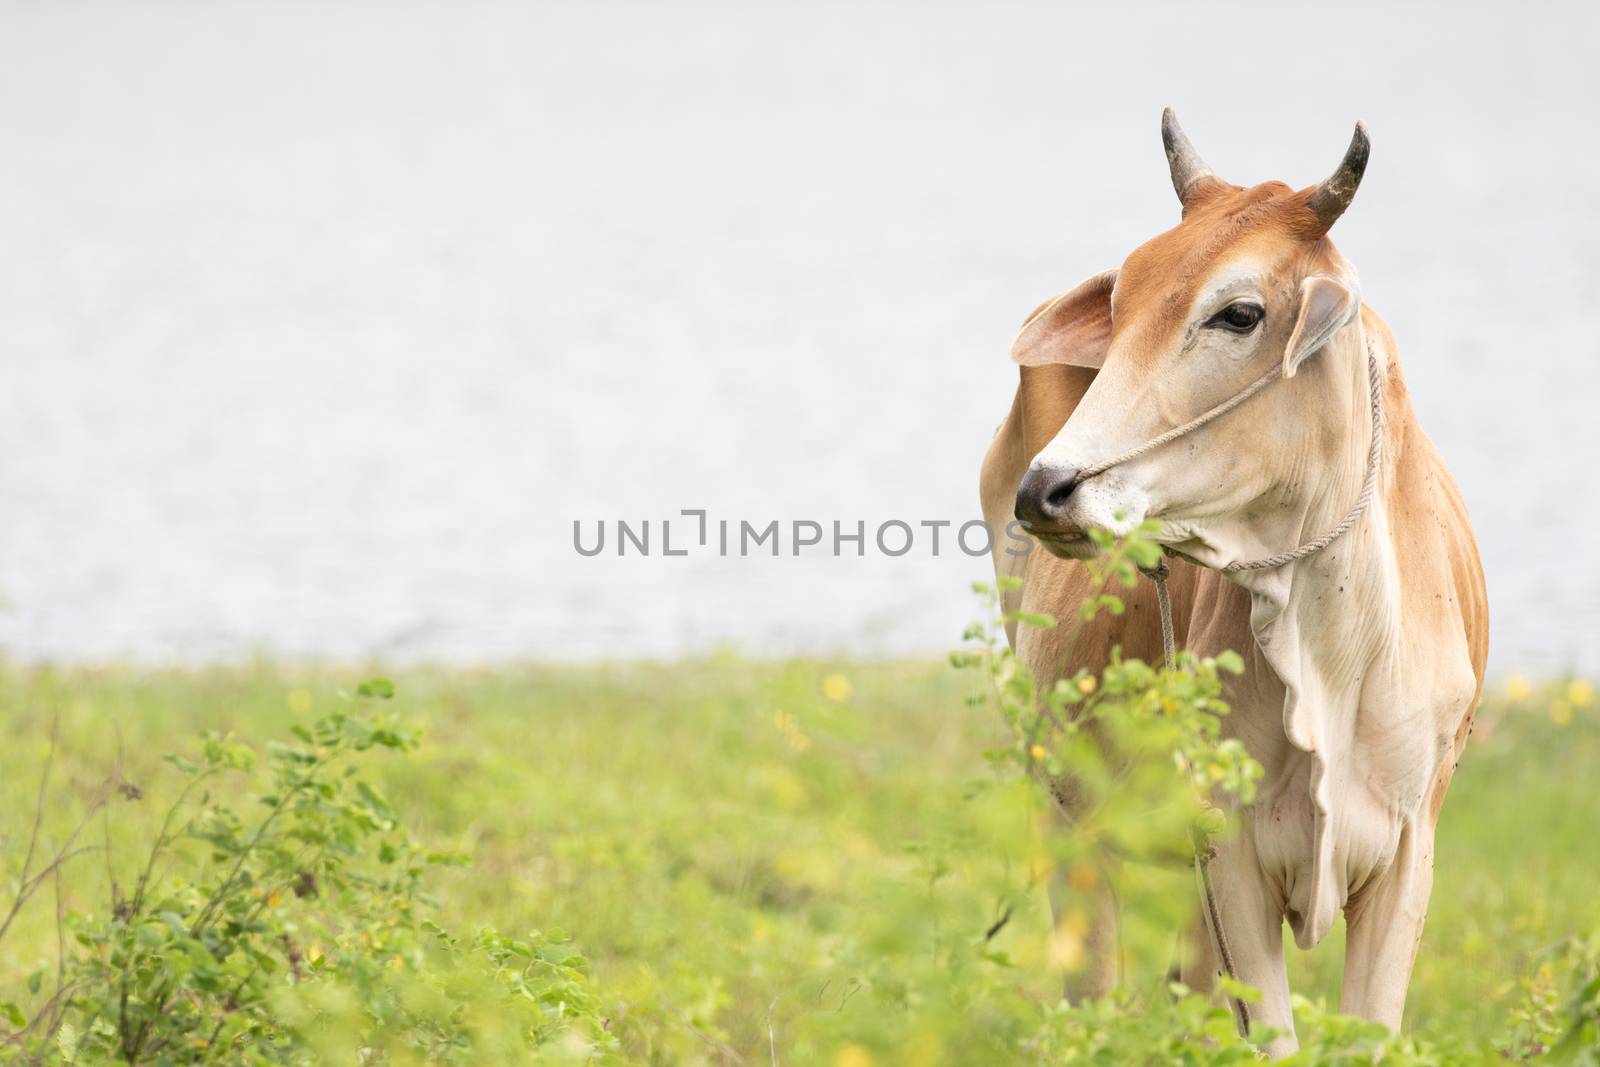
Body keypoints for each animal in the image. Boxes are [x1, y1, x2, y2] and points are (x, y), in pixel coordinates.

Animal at [979, 110, 1491, 1049]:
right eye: (1121, 303)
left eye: (1239, 313)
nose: (1048, 489)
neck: (1334, 650)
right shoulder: (1231, 857)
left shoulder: (1407, 854)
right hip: (1067, 811)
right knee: (1091, 982)